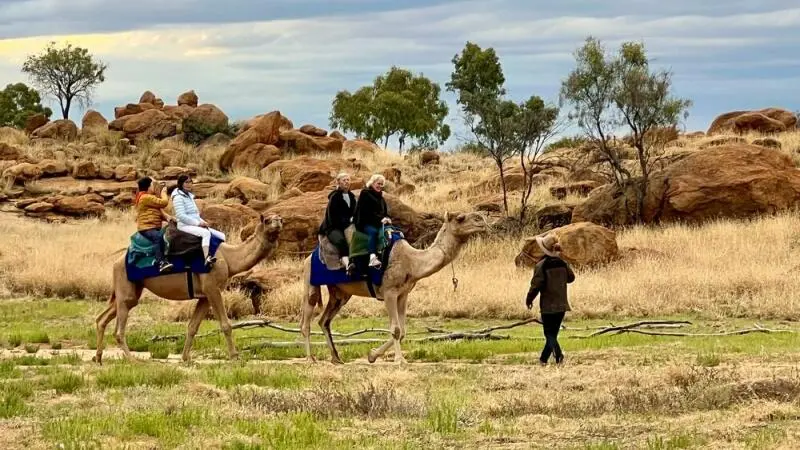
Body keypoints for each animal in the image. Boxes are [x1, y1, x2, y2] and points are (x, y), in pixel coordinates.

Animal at [94, 213, 284, 364]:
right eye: (267, 220)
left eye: (280, 218)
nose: (279, 222)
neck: (230, 259)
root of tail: (117, 261)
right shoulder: (213, 288)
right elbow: (226, 324)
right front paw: (235, 357)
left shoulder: (204, 295)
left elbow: (192, 327)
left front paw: (186, 358)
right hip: (125, 285)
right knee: (119, 329)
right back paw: (134, 360)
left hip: (130, 289)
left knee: (102, 318)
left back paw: (98, 357)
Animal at [300, 212, 488, 366]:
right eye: (460, 218)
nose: (482, 220)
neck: (412, 262)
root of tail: (309, 257)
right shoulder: (389, 292)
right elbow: (396, 329)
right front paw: (400, 360)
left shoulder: (403, 294)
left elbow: (403, 331)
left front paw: (372, 355)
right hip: (310, 280)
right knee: (306, 319)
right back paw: (310, 359)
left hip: (341, 293)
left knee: (324, 321)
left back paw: (336, 358)